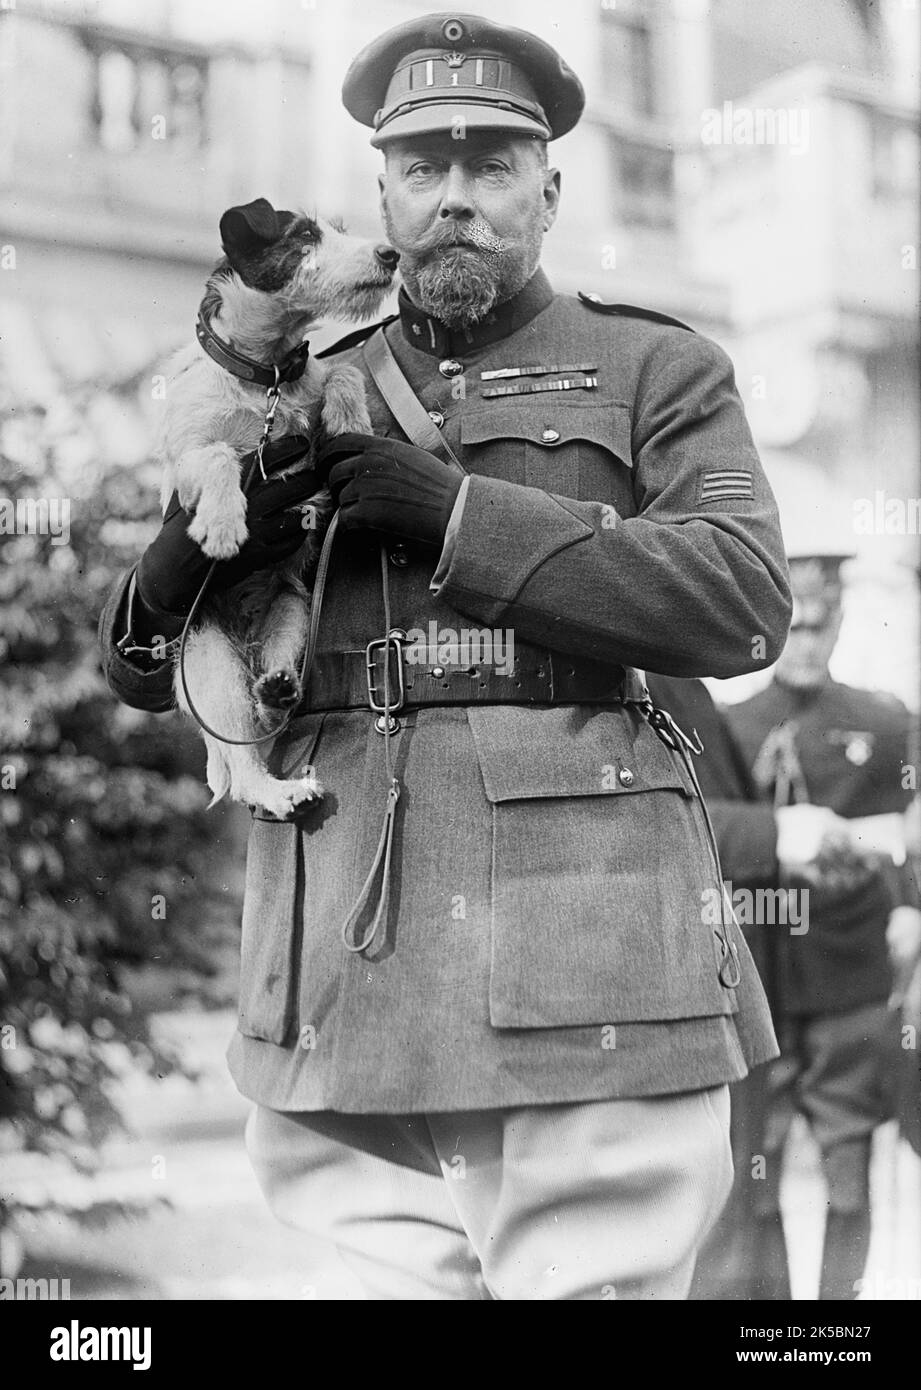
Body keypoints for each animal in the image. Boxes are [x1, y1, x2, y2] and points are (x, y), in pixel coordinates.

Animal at [155, 201, 400, 817]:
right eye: (305, 234)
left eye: (338, 229)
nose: (390, 254)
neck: (264, 378)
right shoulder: (188, 459)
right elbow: (220, 455)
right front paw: (223, 526)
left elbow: (342, 372)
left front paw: (351, 419)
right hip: (209, 664)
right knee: (242, 760)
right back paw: (278, 788)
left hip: (292, 613)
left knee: (269, 709)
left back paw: (277, 689)